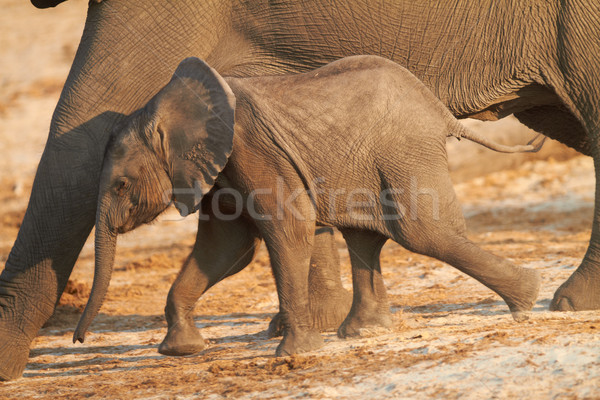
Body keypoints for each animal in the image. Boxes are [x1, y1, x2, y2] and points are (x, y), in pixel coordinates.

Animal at [72, 55, 540, 356]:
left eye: (121, 184)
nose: (77, 340)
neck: (165, 107)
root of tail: (442, 112)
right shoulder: (220, 169)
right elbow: (225, 248)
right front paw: (180, 350)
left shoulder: (251, 149)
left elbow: (287, 230)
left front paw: (294, 353)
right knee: (365, 237)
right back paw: (360, 333)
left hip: (405, 151)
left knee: (422, 233)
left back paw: (527, 300)